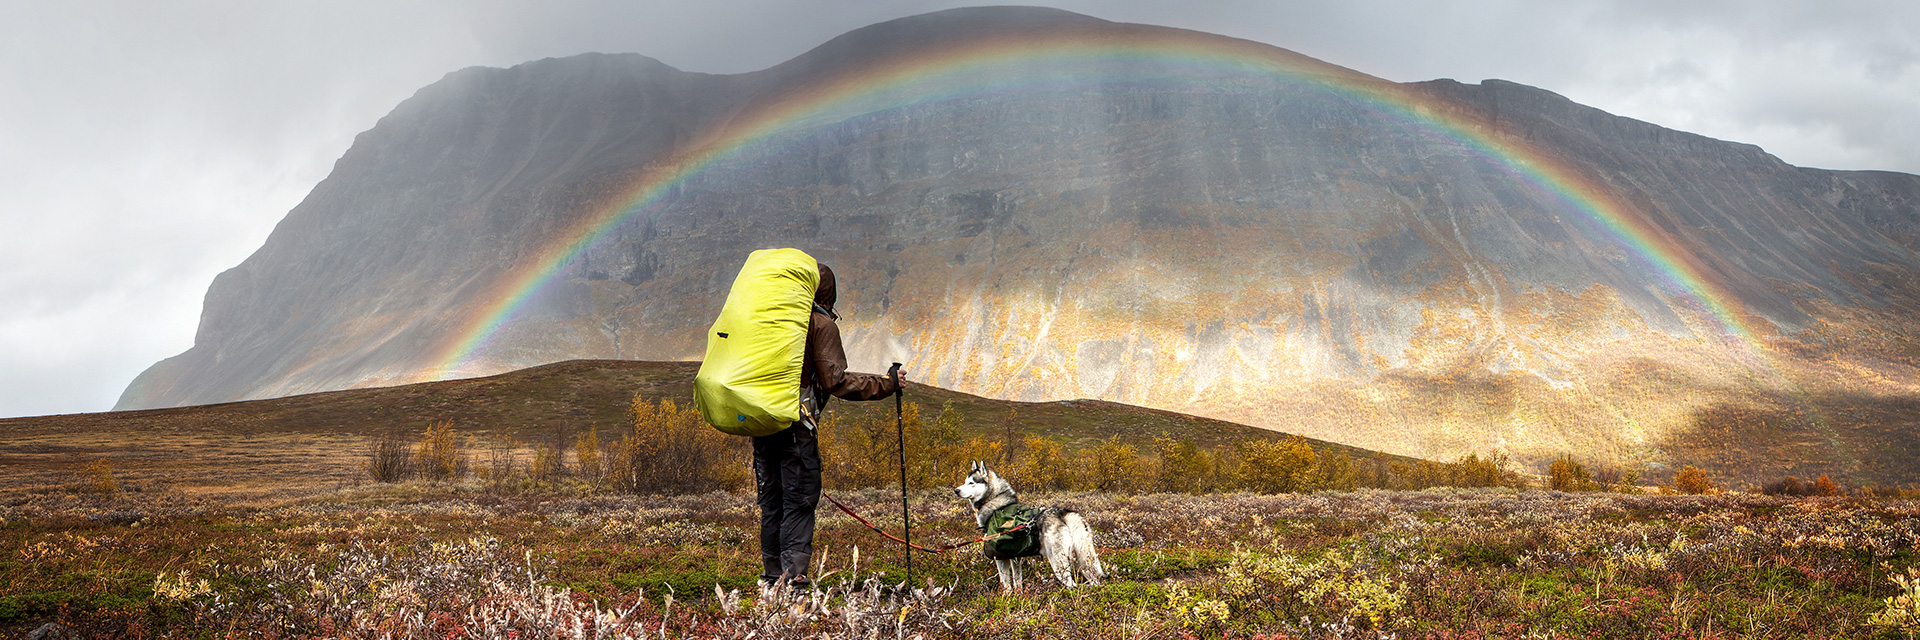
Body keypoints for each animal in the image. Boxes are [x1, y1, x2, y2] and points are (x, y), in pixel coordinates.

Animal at [948, 459, 1105, 588]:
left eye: (971, 483)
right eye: (965, 481)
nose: (956, 490)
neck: (998, 505)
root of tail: (1063, 513)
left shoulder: (1000, 558)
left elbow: (1006, 584)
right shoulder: (1015, 557)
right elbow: (1017, 581)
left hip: (1058, 564)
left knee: (1072, 585)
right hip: (1084, 559)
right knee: (1094, 580)